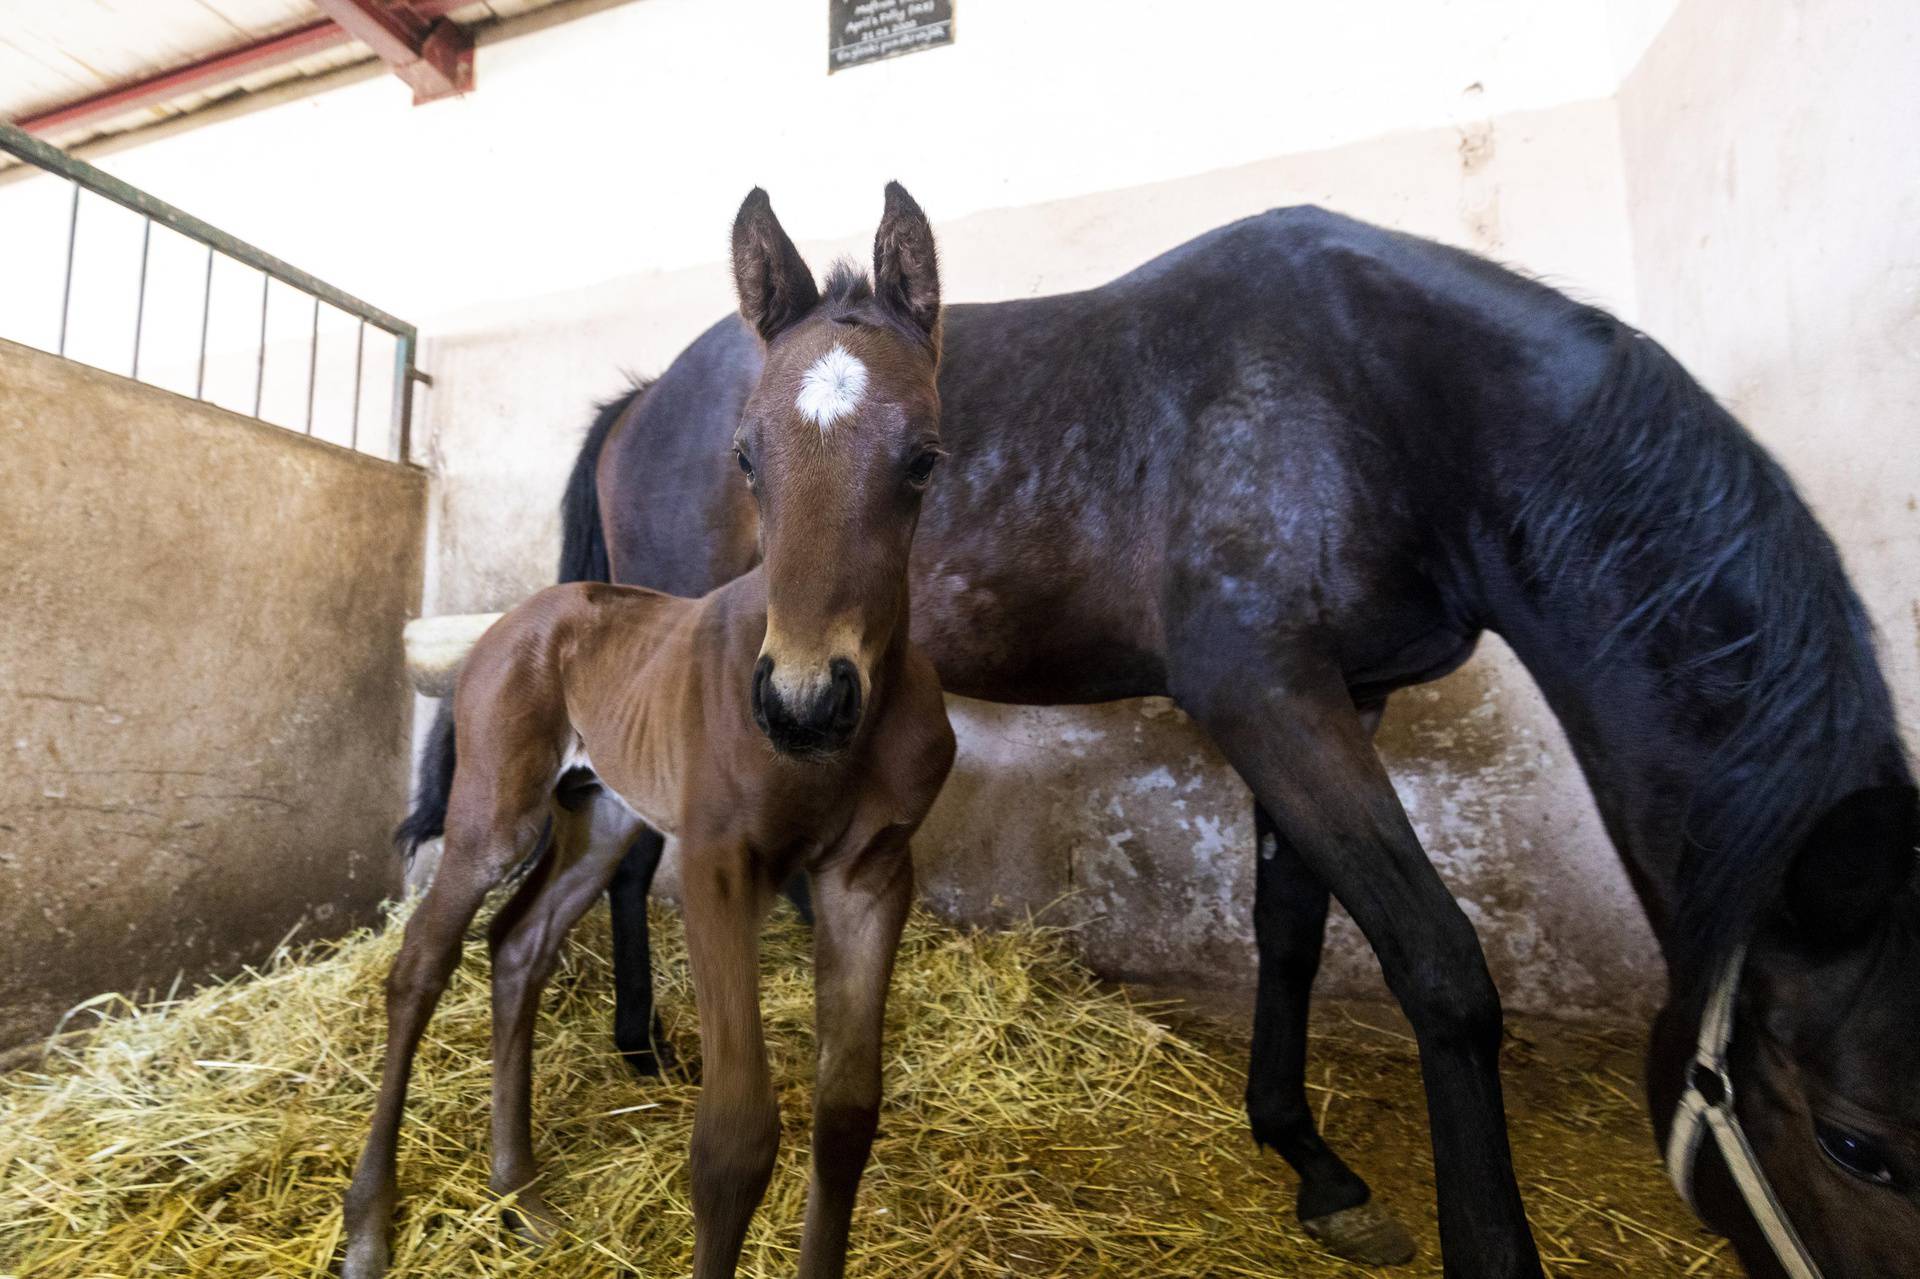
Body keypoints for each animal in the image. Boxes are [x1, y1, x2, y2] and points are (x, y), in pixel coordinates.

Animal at [341, 181, 956, 1275]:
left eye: (922, 459)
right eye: (745, 456)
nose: (804, 702)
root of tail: (527, 612)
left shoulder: (872, 874)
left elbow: (847, 1115)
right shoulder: (717, 863)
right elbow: (735, 1139)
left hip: (603, 814)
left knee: (518, 946)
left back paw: (521, 1192)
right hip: (496, 811)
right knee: (419, 966)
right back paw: (370, 1224)